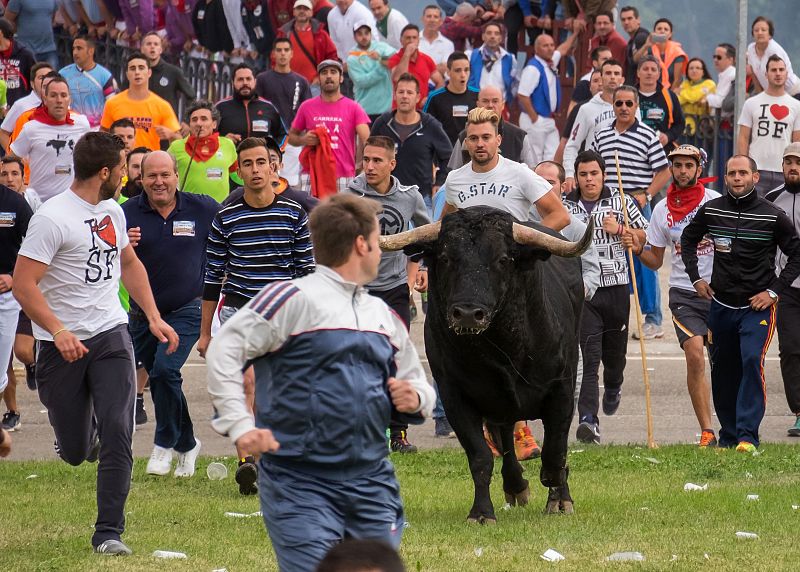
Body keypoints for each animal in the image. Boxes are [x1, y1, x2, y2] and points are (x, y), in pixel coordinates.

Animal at [382, 207, 592, 524]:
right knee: (504, 440)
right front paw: (481, 513)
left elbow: (555, 452)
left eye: (503, 259)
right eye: (445, 257)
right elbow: (480, 456)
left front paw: (559, 498)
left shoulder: (562, 390)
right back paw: (515, 486)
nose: (468, 313)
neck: (506, 349)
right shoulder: (455, 397)